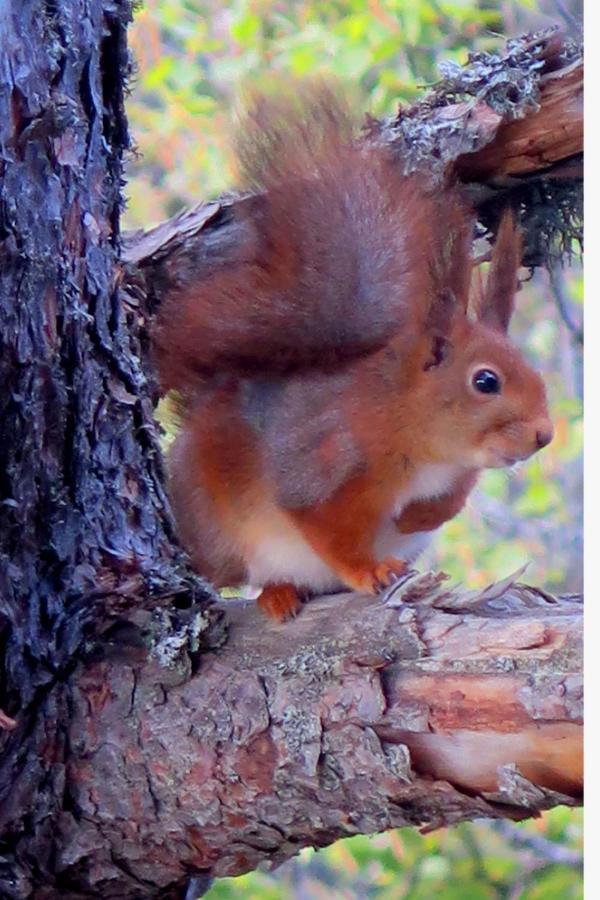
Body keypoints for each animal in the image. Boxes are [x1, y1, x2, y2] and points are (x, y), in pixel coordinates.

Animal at [154, 82, 552, 620]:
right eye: (485, 381)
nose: (544, 435)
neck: (412, 429)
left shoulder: (458, 475)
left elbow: (446, 505)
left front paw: (414, 517)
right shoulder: (322, 461)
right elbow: (327, 530)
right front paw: (371, 569)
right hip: (216, 532)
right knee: (236, 572)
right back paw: (277, 593)